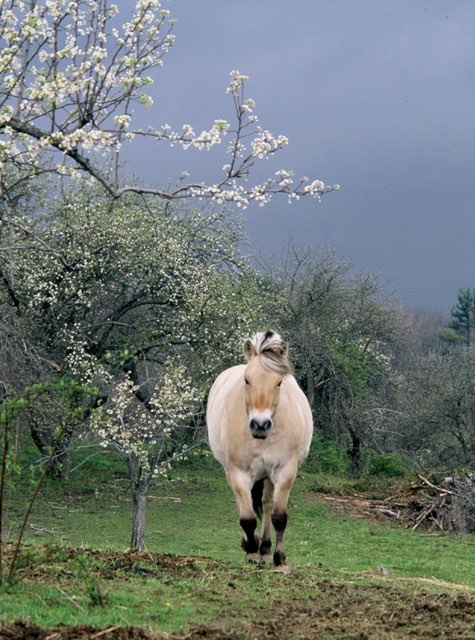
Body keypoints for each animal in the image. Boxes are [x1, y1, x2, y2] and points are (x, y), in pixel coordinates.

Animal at [206, 331, 313, 571]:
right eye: (247, 379)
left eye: (279, 382)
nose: (260, 424)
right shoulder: (238, 473)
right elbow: (247, 519)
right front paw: (251, 551)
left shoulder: (285, 471)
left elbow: (279, 517)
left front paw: (279, 559)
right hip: (234, 472)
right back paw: (253, 547)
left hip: (268, 476)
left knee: (266, 505)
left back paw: (265, 549)